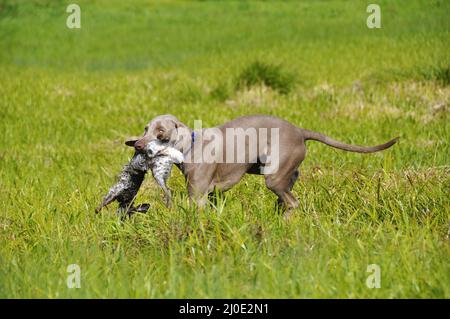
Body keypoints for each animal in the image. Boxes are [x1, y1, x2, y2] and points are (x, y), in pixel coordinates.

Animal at [127, 114, 398, 218]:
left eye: (160, 132)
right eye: (145, 128)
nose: (137, 145)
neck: (191, 145)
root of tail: (300, 131)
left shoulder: (198, 195)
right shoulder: (212, 194)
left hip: (273, 176)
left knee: (292, 202)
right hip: (282, 173)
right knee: (286, 196)